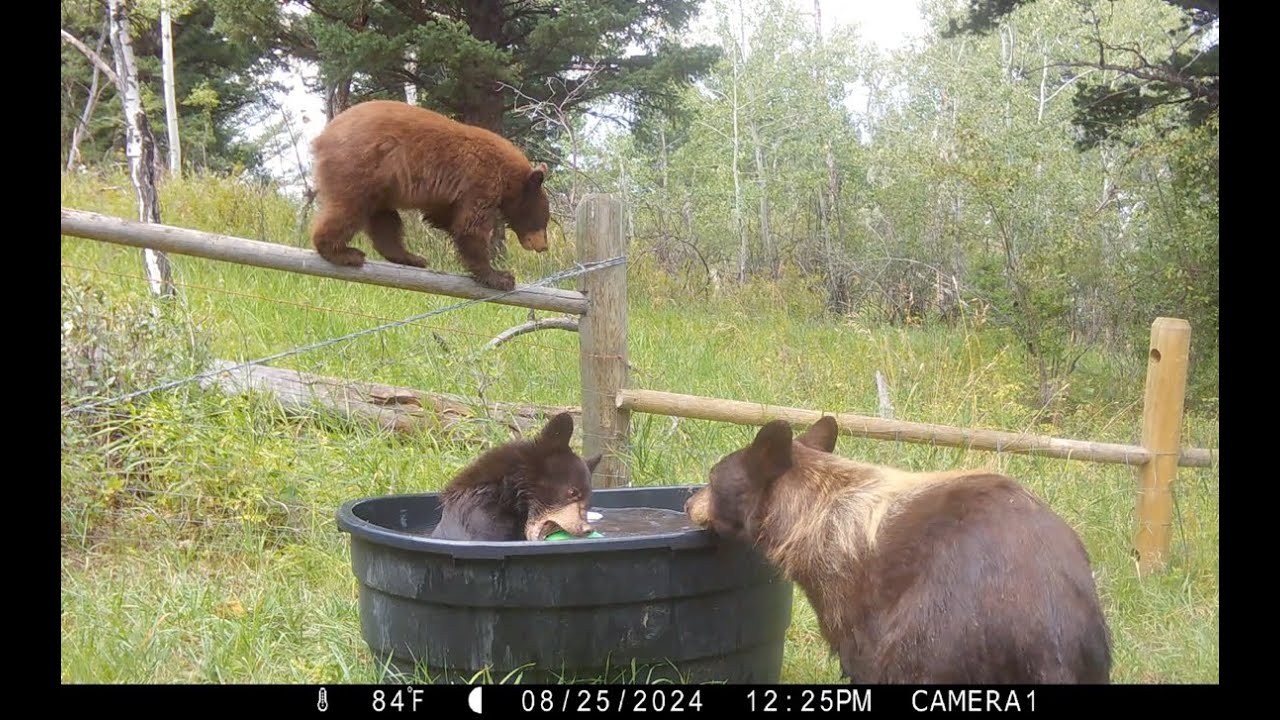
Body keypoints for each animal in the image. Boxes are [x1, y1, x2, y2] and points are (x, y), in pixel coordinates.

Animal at [307, 99, 552, 291]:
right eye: (544, 220)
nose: (543, 246)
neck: (507, 175)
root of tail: (321, 137)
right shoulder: (480, 181)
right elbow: (470, 227)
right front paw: (500, 276)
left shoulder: (451, 195)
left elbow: (444, 217)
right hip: (360, 167)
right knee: (349, 210)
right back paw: (343, 253)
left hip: (381, 184)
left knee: (385, 220)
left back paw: (411, 257)